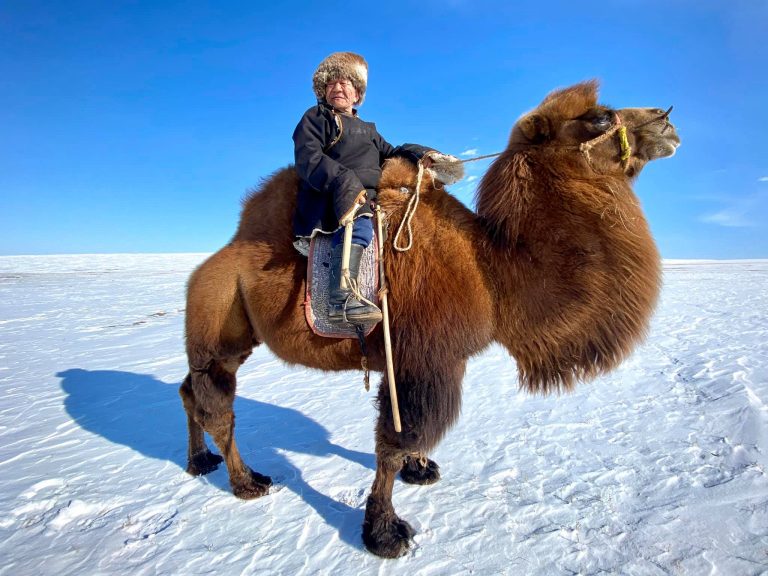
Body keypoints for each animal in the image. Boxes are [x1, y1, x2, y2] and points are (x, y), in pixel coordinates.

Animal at [180, 80, 680, 558]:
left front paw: (420, 471)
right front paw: (384, 534)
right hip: (218, 318)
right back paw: (247, 481)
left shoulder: (421, 362)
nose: (667, 120)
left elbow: (411, 439)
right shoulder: (426, 358)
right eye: (600, 117)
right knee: (216, 404)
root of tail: (215, 260)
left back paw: (200, 462)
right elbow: (395, 442)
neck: (492, 271)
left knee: (191, 391)